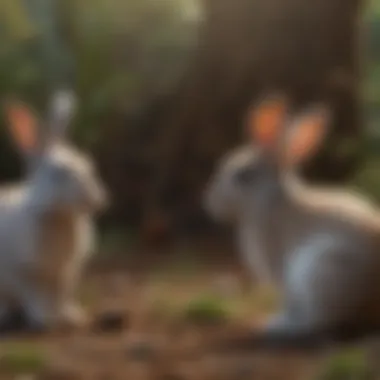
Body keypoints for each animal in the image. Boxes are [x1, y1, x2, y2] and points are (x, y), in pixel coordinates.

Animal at [0, 90, 108, 332]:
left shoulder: (66, 274)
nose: (97, 200)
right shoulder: (26, 275)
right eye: (58, 173)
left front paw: (72, 317)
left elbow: (62, 296)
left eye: (86, 163)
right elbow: (37, 298)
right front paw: (46, 321)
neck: (58, 216)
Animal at [205, 94, 380, 350]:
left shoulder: (283, 276)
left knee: (318, 323)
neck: (270, 199)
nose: (210, 202)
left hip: (321, 271)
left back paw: (276, 326)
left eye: (243, 175)